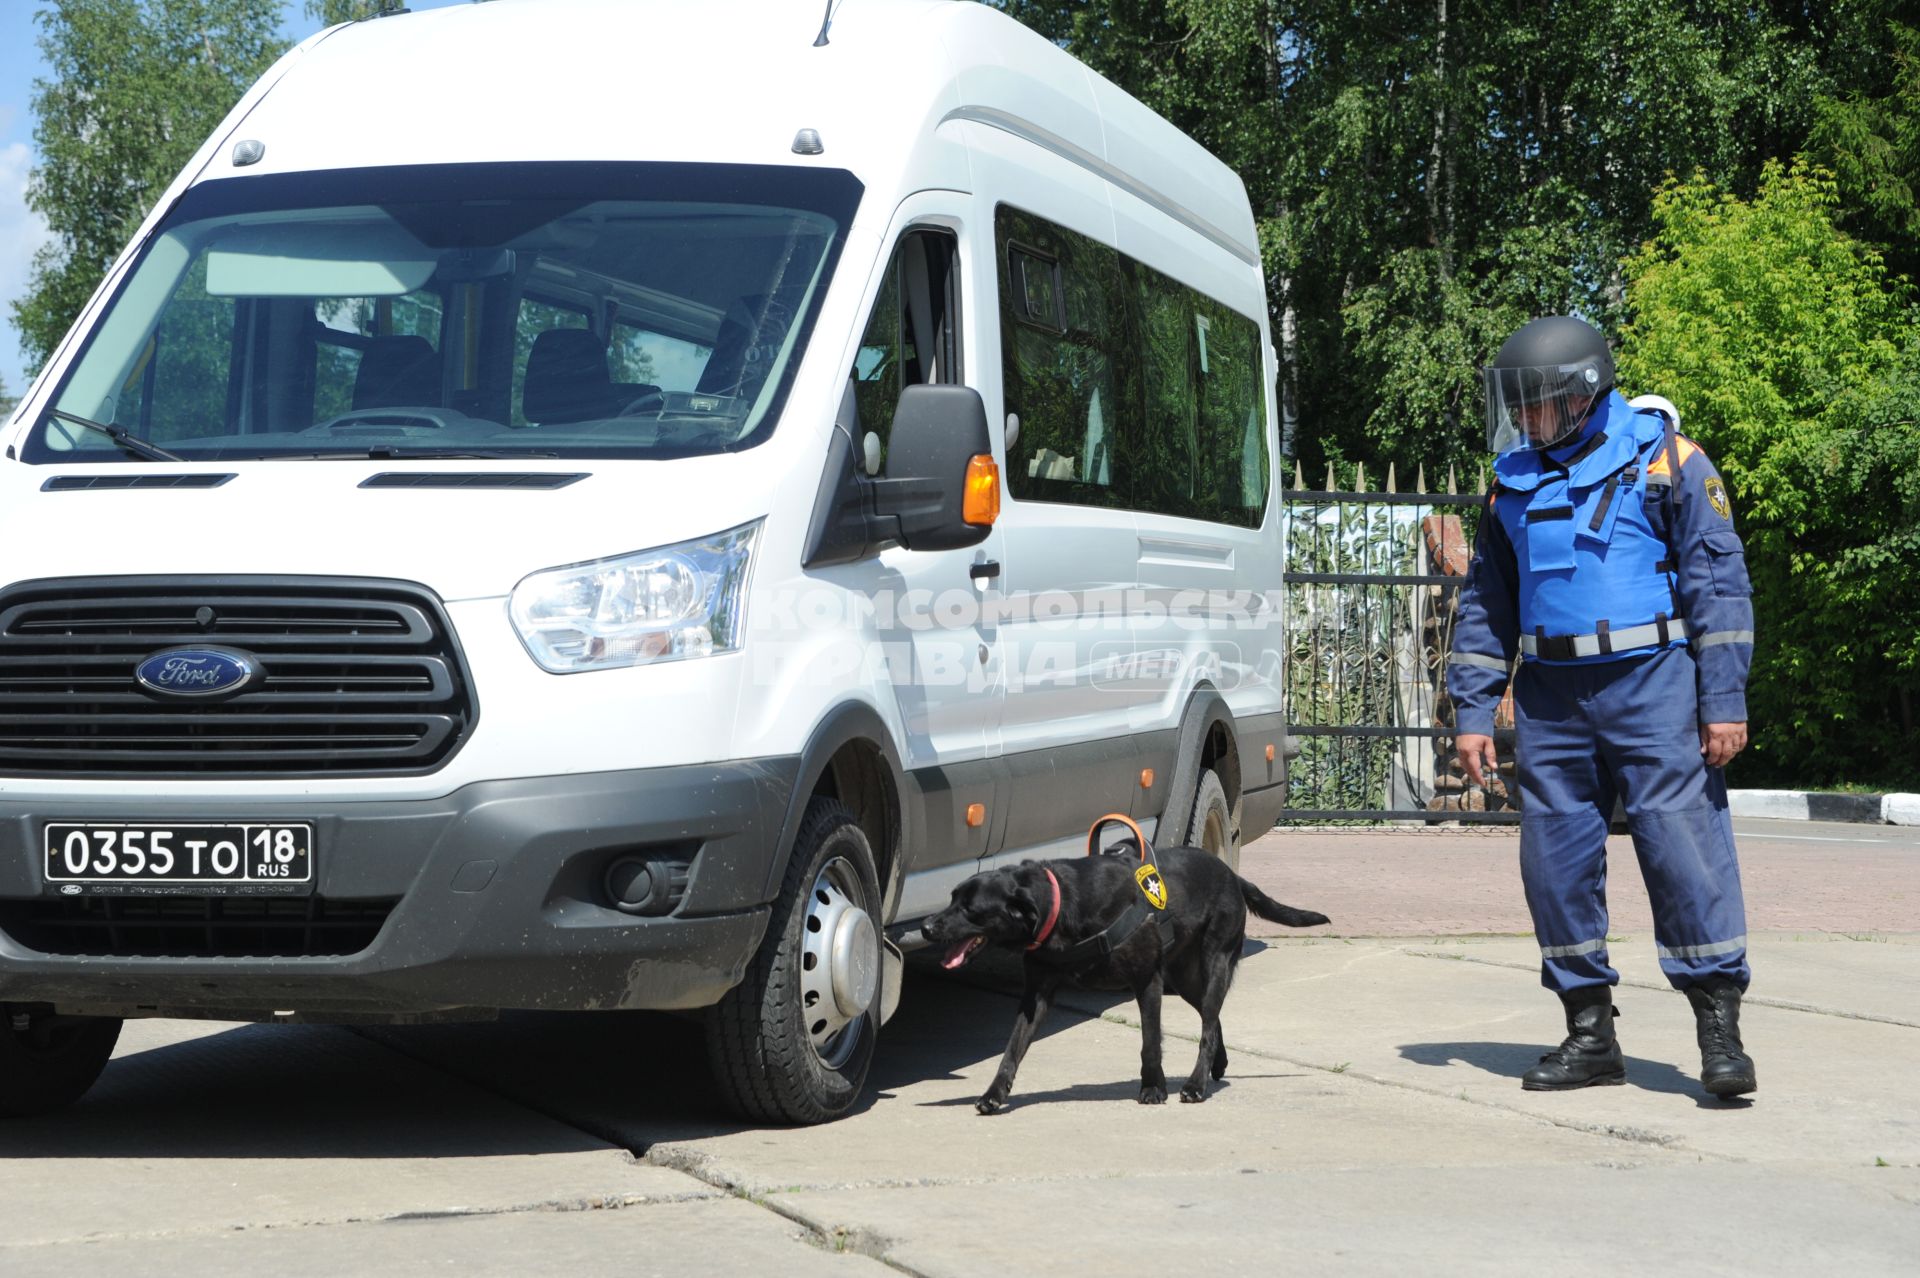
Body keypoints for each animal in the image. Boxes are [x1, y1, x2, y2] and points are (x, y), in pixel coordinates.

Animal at [921, 844, 1328, 1105]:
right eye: (952, 898)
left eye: (971, 910)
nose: (925, 927)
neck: (1062, 905)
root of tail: (1234, 876)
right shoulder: (1035, 994)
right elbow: (1012, 1048)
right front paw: (994, 1094)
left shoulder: (1147, 980)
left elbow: (1150, 1043)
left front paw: (1153, 1089)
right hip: (1183, 978)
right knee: (1212, 1021)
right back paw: (1218, 1063)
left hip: (1213, 964)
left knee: (1208, 1026)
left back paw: (1195, 1085)